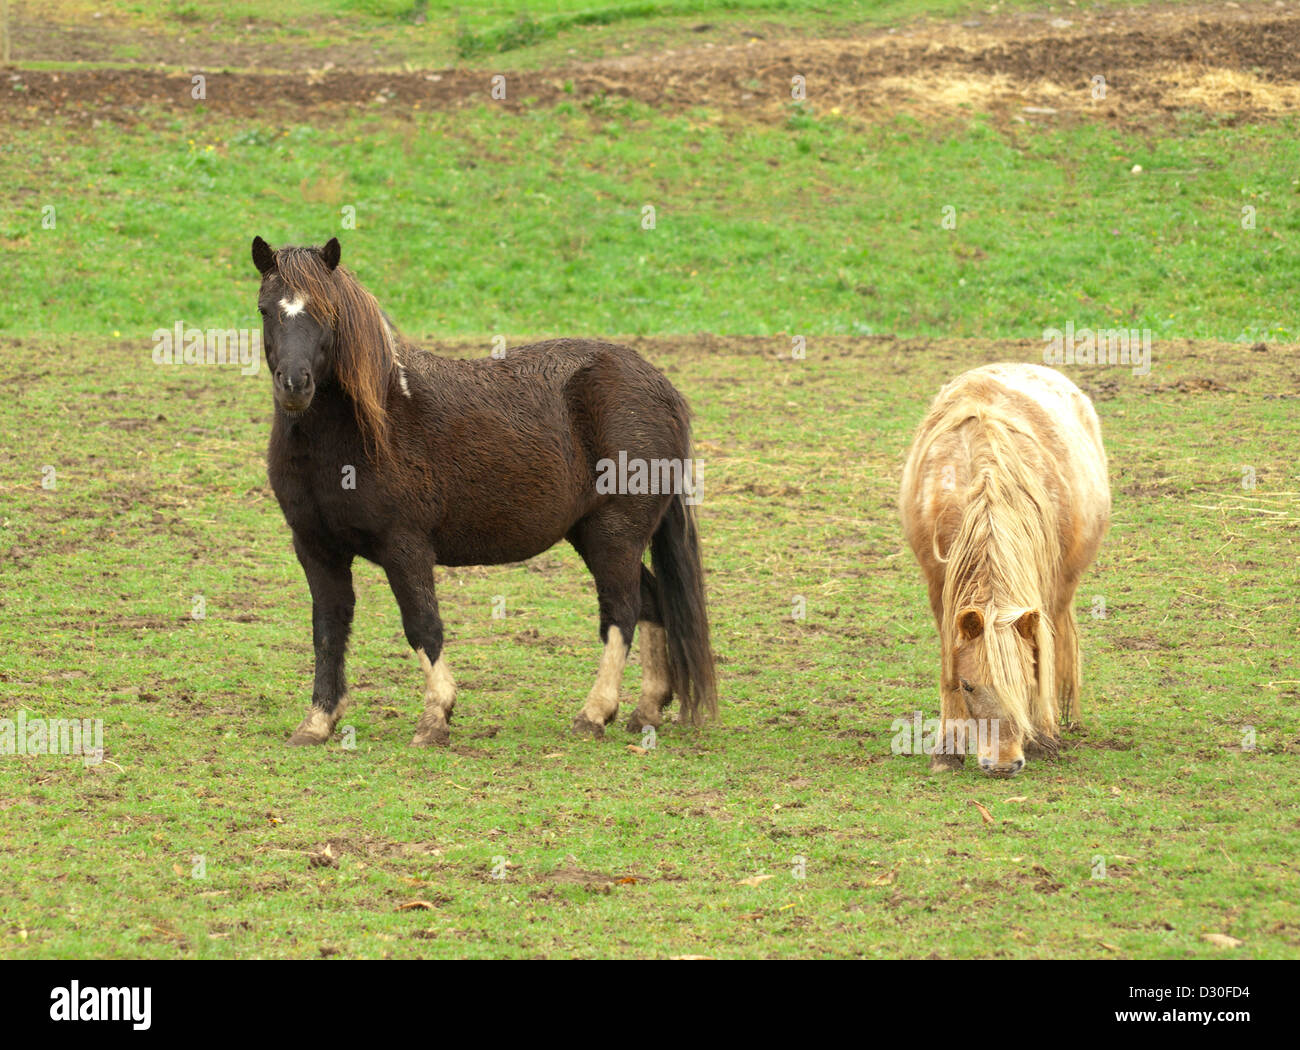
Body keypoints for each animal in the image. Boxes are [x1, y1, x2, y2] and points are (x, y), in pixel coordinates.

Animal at [250, 236, 717, 747]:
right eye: (265, 309)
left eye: (327, 312)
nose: (295, 385)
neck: (369, 427)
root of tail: (660, 387)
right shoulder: (316, 548)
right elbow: (328, 629)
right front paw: (317, 722)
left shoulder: (405, 547)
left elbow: (422, 625)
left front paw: (436, 716)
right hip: (595, 535)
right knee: (651, 603)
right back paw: (646, 709)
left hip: (614, 535)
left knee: (623, 611)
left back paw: (594, 713)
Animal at [899, 363, 1110, 776]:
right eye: (969, 686)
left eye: (1024, 680)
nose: (1003, 765)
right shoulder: (939, 587)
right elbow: (948, 664)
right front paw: (946, 750)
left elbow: (1044, 658)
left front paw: (1043, 737)